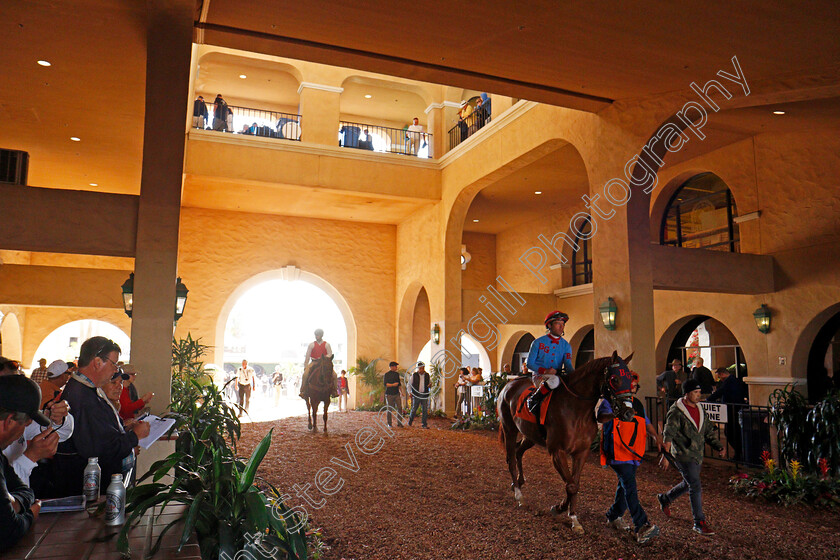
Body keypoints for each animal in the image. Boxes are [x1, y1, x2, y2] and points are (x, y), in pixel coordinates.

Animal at [496, 350, 632, 532]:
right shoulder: (557, 451)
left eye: (631, 380)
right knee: (511, 457)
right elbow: (571, 485)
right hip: (510, 429)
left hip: (530, 436)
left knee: (518, 451)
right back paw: (519, 495)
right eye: (615, 379)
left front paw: (566, 511)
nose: (629, 413)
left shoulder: (581, 452)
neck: (577, 411)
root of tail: (508, 385)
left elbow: (574, 483)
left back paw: (518, 481)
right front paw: (567, 513)